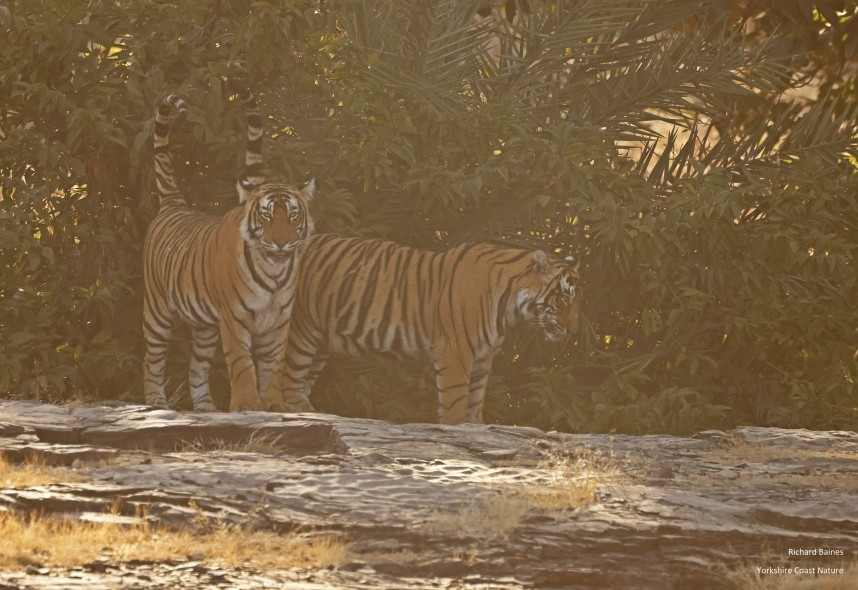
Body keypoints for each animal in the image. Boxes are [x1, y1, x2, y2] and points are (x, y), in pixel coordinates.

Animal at [142, 84, 315, 412]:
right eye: (267, 215)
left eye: (293, 215)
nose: (281, 242)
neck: (273, 271)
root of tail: (174, 204)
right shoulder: (234, 319)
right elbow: (242, 364)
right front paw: (248, 405)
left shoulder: (278, 323)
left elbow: (273, 367)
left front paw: (275, 405)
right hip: (157, 310)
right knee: (153, 361)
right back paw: (156, 402)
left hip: (205, 327)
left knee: (197, 368)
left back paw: (207, 408)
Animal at [279, 235, 580, 424]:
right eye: (565, 299)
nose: (574, 331)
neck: (509, 308)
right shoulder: (456, 353)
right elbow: (456, 403)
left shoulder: (483, 358)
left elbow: (476, 401)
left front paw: (478, 427)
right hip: (301, 333)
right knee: (286, 383)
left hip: (320, 342)